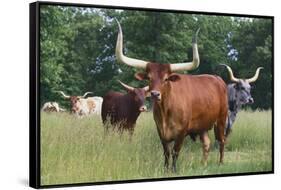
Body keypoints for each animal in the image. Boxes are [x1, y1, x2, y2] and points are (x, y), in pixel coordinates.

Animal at [115, 20, 226, 171]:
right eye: (149, 78)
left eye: (166, 78)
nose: (155, 94)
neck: (165, 111)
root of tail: (218, 79)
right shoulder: (160, 131)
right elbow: (166, 152)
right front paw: (166, 169)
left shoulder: (182, 132)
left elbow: (175, 152)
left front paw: (173, 170)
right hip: (202, 125)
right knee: (206, 143)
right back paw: (203, 164)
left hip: (221, 119)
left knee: (222, 141)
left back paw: (221, 163)